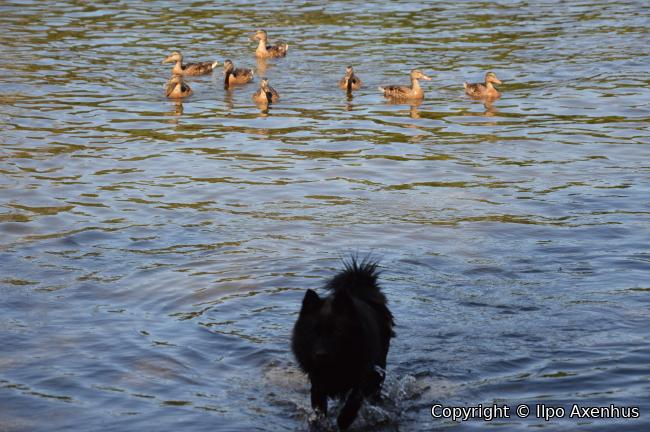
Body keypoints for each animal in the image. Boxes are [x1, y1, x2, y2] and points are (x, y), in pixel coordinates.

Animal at [291, 258, 395, 429]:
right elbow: (319, 408)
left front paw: (344, 420)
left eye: (338, 332)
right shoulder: (317, 381)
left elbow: (353, 401)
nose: (320, 354)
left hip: (379, 367)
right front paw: (320, 422)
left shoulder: (362, 376)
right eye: (314, 331)